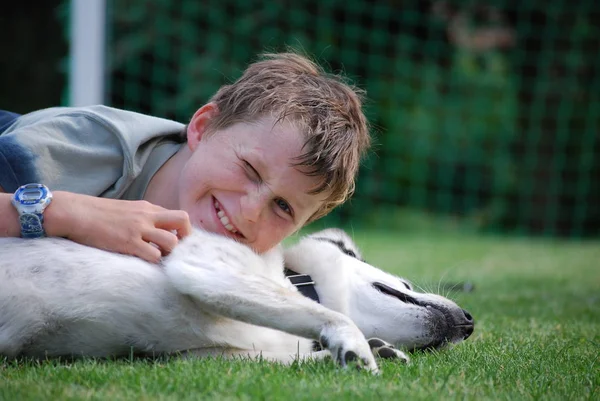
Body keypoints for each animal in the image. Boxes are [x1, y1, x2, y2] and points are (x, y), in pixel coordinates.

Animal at [0, 228, 474, 372]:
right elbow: (335, 318)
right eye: (405, 283)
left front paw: (371, 350)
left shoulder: (195, 358)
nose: (470, 322)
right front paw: (356, 345)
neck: (295, 280)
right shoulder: (207, 267)